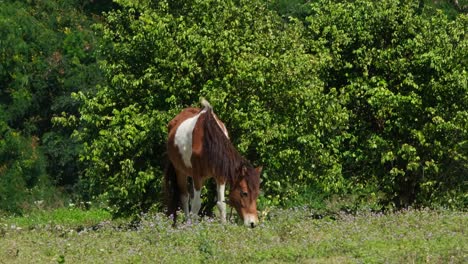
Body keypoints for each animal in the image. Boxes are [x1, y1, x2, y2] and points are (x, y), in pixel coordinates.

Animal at [165, 99, 262, 227]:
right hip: (180, 171)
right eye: (244, 193)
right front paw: (193, 227)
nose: (253, 223)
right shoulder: (197, 176)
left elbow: (221, 204)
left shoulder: (220, 176)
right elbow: (196, 205)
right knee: (185, 197)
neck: (208, 142)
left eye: (257, 194)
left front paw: (223, 226)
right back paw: (187, 222)